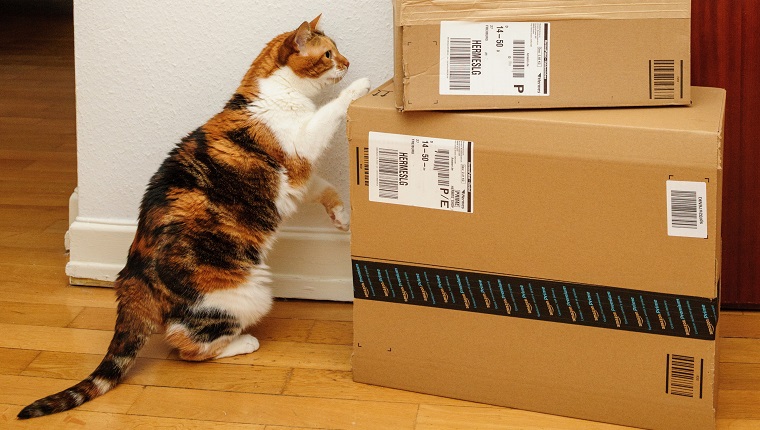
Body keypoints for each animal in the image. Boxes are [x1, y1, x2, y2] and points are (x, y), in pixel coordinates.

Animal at [18, 15, 372, 418]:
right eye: (328, 54)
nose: (347, 63)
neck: (277, 94)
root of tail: (132, 273)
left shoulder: (299, 176)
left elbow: (325, 187)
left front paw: (342, 217)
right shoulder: (301, 146)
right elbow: (329, 114)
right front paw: (360, 87)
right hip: (248, 294)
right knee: (185, 343)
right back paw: (244, 342)